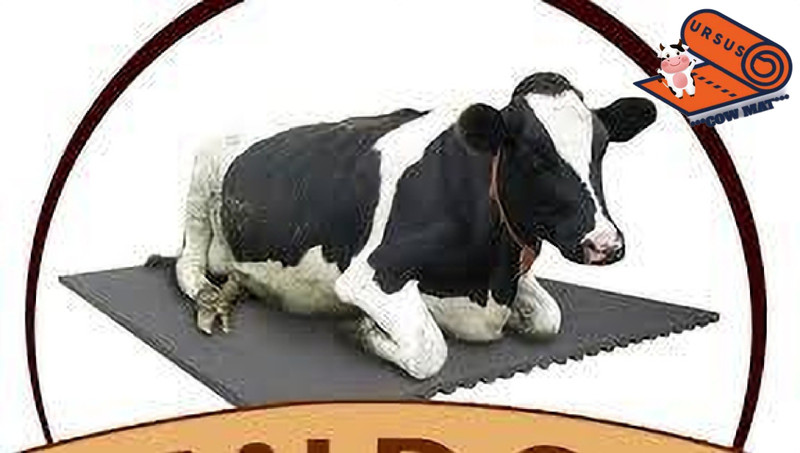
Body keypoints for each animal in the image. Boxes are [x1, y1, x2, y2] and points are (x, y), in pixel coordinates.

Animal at [175, 72, 656, 379]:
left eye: (601, 150)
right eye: (535, 154)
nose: (605, 244)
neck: (489, 276)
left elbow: (549, 317)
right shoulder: (369, 275)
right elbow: (429, 350)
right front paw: (362, 330)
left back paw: (236, 289)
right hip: (200, 178)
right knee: (187, 262)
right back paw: (208, 294)